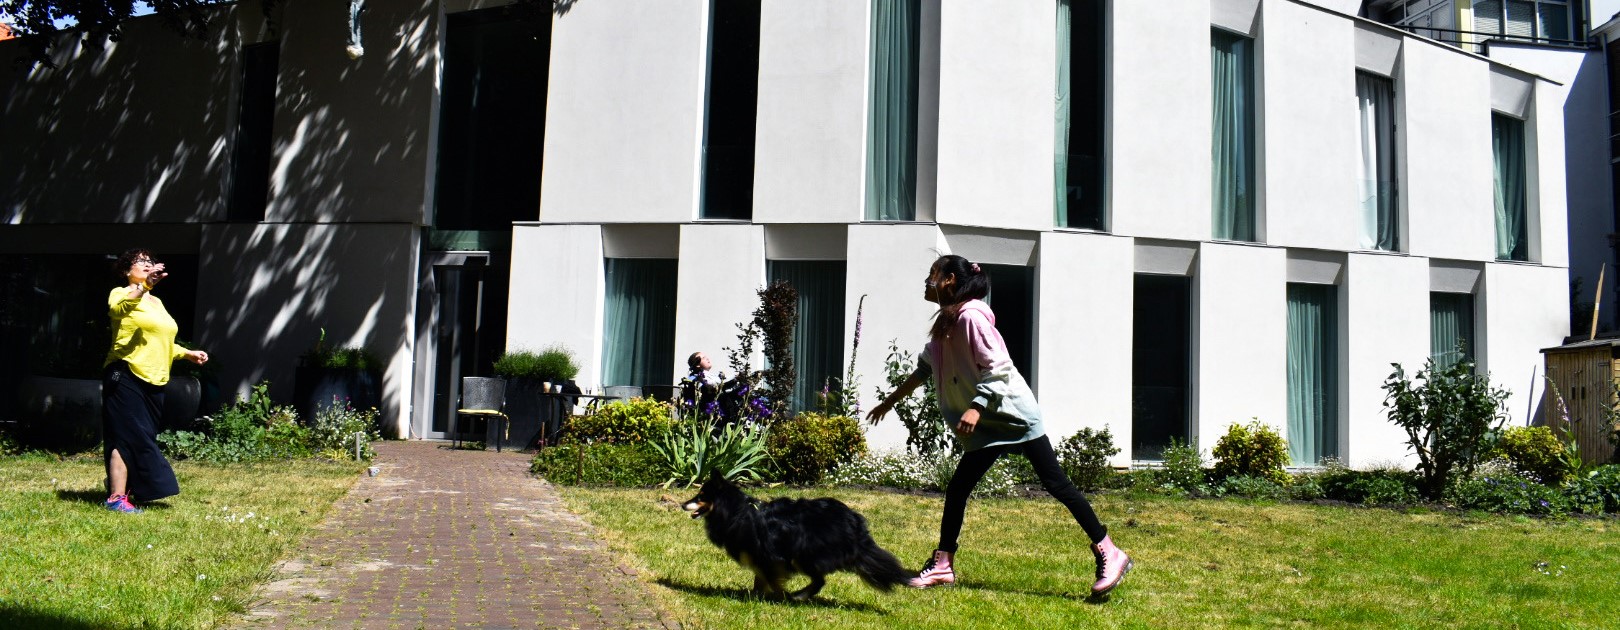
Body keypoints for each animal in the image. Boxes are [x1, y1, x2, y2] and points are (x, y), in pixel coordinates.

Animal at [681, 471, 913, 600]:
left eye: (701, 497)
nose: (682, 504)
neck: (736, 512)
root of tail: (854, 524)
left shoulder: (768, 557)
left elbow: (772, 580)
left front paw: (781, 597)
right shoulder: (761, 558)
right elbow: (759, 580)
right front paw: (755, 597)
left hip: (804, 553)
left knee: (819, 581)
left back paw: (799, 596)